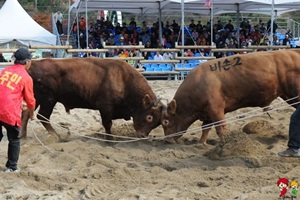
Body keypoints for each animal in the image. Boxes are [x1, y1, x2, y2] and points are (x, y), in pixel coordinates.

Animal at [21, 57, 164, 139]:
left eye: (158, 122)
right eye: (149, 117)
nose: (142, 136)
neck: (123, 79)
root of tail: (32, 65)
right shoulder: (105, 107)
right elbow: (107, 124)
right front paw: (110, 140)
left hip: (36, 99)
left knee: (26, 114)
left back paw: (23, 136)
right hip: (48, 100)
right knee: (42, 116)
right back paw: (58, 137)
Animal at [162, 49, 300, 145]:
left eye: (166, 121)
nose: (167, 140)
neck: (199, 83)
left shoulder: (216, 109)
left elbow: (220, 129)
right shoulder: (208, 112)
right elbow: (205, 128)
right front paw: (201, 143)